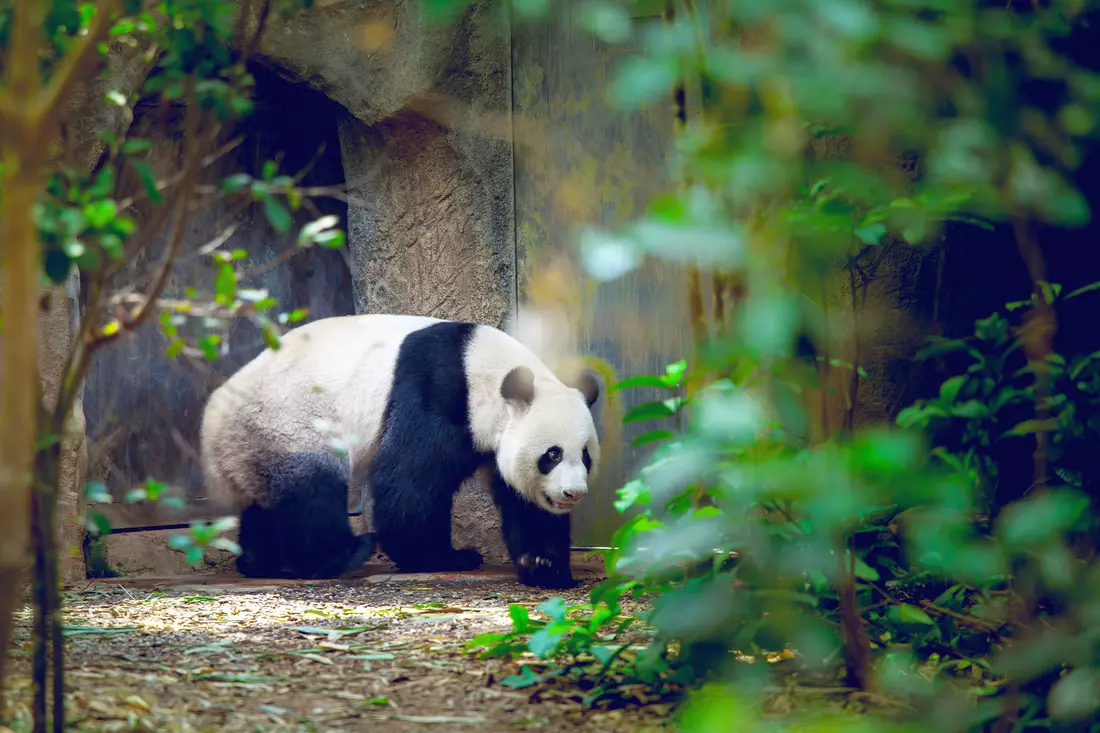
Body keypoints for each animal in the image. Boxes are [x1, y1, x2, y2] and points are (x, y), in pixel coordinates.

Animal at [202, 314, 607, 589]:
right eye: (552, 455)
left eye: (585, 455)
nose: (572, 493)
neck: (484, 369)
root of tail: (211, 427)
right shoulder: (439, 391)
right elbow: (409, 483)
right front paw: (448, 556)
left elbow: (523, 501)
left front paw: (545, 565)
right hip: (286, 423)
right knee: (311, 490)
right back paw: (344, 554)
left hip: (255, 444)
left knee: (266, 504)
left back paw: (261, 562)